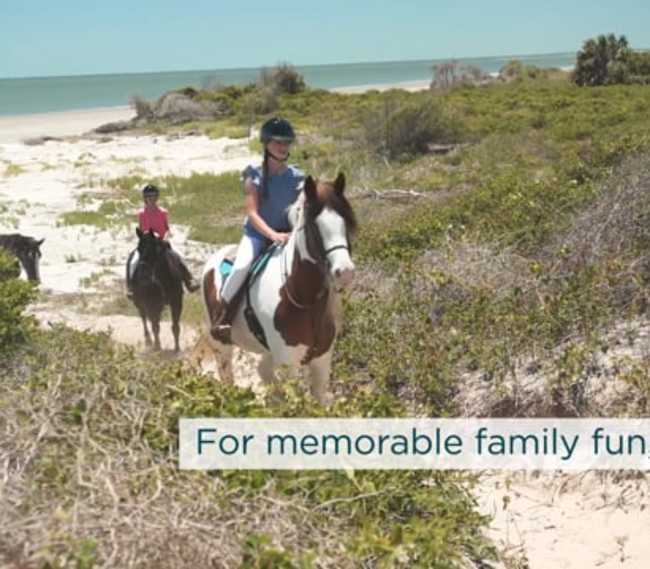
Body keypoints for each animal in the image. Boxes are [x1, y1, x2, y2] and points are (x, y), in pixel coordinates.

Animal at [201, 173, 356, 404]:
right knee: (227, 375)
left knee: (263, 372)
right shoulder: (288, 364)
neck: (304, 300)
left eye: (345, 222)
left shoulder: (321, 361)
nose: (345, 271)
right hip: (222, 346)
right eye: (313, 227)